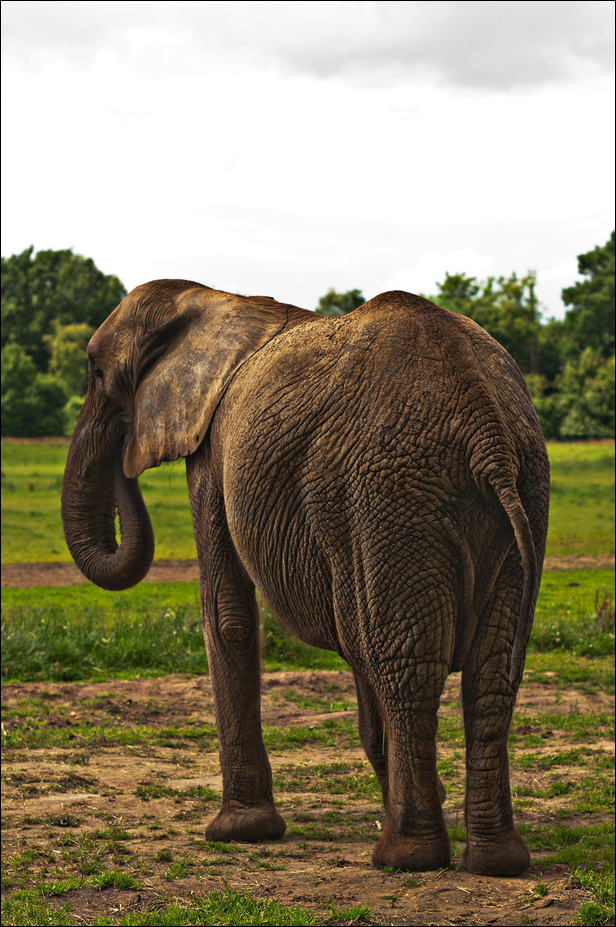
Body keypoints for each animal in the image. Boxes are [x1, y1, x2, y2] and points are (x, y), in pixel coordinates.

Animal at [61, 279, 549, 876]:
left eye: (97, 373)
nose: (126, 462)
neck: (213, 298)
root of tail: (485, 428)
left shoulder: (214, 451)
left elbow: (227, 616)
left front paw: (237, 834)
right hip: (515, 491)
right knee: (488, 670)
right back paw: (495, 862)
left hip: (388, 495)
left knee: (406, 666)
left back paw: (403, 859)